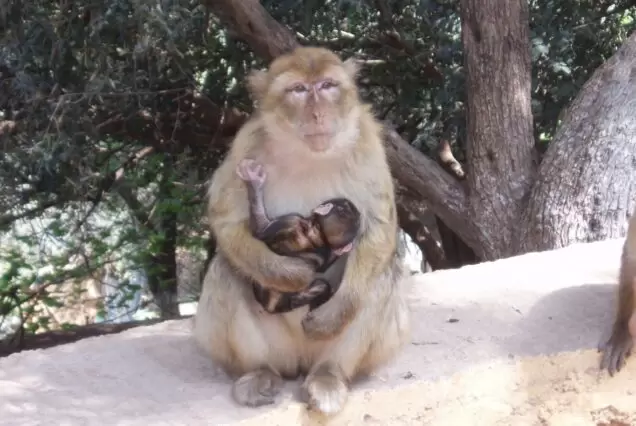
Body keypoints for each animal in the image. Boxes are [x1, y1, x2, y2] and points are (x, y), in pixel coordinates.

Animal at [236, 157, 360, 312]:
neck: (318, 234)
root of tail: (272, 306)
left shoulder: (291, 220)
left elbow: (260, 229)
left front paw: (254, 181)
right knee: (321, 287)